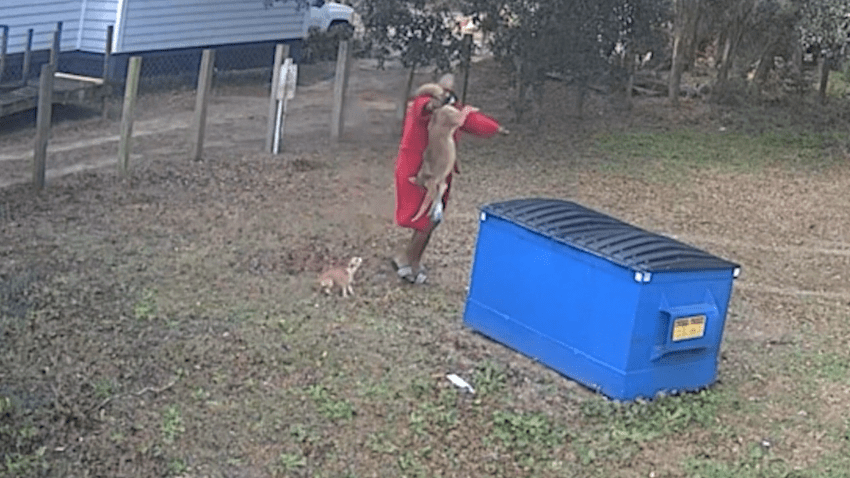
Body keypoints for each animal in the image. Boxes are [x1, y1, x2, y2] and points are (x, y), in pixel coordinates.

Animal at [406, 75, 474, 224]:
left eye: (422, 189)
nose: (422, 189)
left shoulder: (433, 186)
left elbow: (427, 204)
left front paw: (420, 215)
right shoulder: (440, 183)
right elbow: (440, 192)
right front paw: (434, 210)